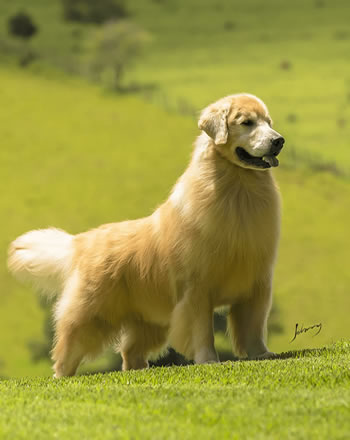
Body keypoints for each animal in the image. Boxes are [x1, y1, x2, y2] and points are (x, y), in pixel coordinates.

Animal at [7, 94, 284, 376]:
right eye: (247, 122)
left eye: (268, 122)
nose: (279, 141)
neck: (238, 188)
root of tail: (81, 242)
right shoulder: (196, 289)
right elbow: (202, 331)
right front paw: (208, 360)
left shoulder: (257, 284)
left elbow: (254, 326)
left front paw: (262, 354)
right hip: (91, 317)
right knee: (67, 350)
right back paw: (61, 375)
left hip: (150, 322)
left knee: (129, 352)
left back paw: (139, 370)